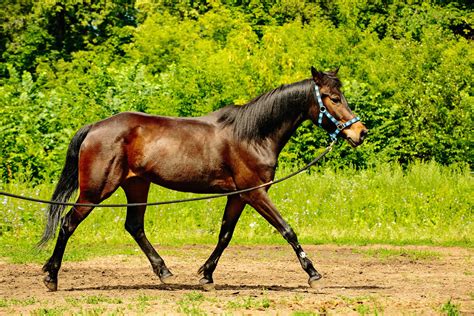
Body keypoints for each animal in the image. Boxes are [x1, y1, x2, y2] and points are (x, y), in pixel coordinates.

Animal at [39, 66, 368, 292]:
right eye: (334, 98)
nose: (360, 132)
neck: (252, 135)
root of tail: (94, 127)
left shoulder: (238, 195)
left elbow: (225, 235)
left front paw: (206, 274)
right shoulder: (256, 193)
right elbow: (287, 230)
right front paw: (313, 273)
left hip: (137, 185)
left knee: (134, 226)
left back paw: (164, 272)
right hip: (96, 191)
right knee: (67, 224)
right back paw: (51, 276)